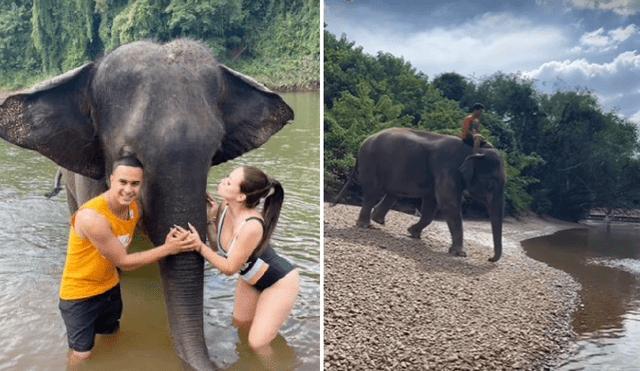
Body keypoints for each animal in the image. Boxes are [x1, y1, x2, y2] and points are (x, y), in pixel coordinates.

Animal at [336, 126, 504, 264]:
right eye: (490, 184)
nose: (489, 259)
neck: (473, 149)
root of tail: (365, 140)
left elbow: (432, 203)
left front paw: (413, 233)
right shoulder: (446, 168)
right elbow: (447, 203)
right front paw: (460, 253)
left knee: (391, 194)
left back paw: (378, 221)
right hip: (370, 162)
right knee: (372, 192)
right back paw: (366, 225)